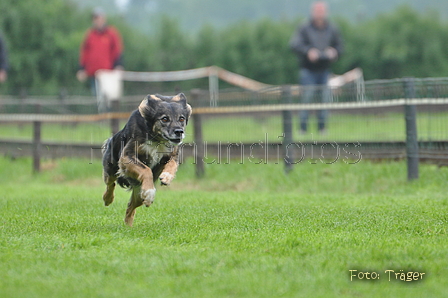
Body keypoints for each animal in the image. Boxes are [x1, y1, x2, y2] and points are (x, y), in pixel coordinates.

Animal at [100, 93, 192, 226]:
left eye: (181, 119)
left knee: (130, 206)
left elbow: (173, 164)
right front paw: (149, 193)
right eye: (164, 119)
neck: (157, 138)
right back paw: (108, 199)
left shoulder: (172, 153)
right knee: (110, 183)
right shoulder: (127, 156)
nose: (179, 132)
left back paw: (128, 226)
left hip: (138, 192)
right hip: (111, 169)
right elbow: (146, 169)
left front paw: (166, 177)